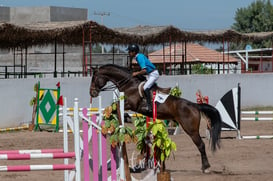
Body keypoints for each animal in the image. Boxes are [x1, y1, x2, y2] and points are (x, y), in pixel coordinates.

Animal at [89, 64, 221, 173]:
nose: (92, 93)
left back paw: (205, 167)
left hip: (191, 130)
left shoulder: (130, 104)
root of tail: (194, 105)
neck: (128, 84)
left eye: (94, 78)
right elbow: (112, 107)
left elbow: (112, 107)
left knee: (201, 145)